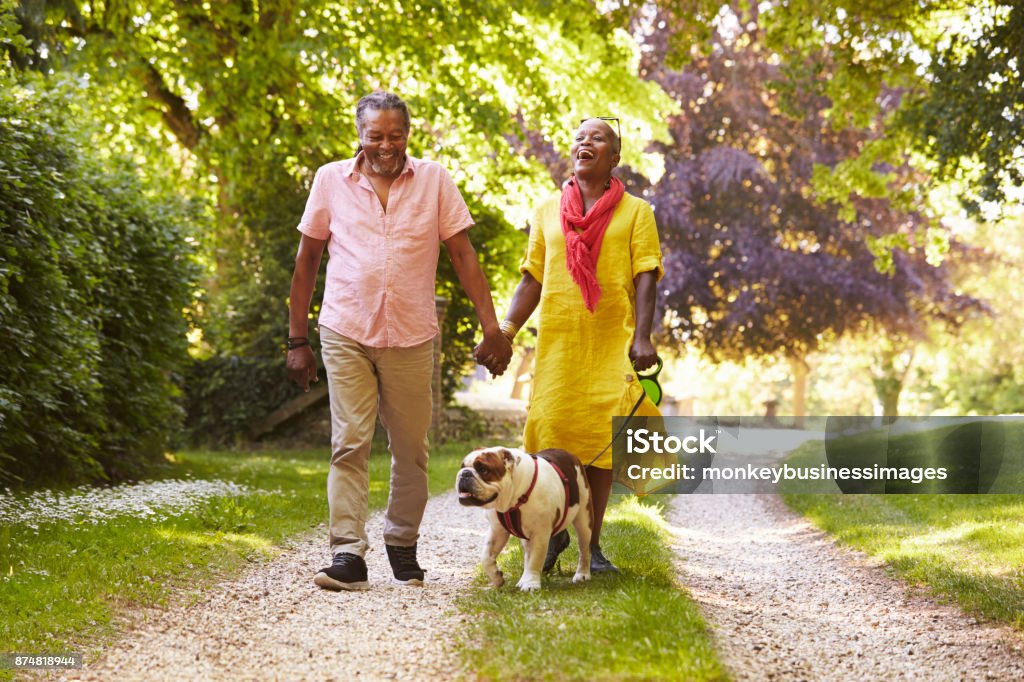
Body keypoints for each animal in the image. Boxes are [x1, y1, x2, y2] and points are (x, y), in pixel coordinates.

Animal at [456, 446, 593, 589]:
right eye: (462, 466)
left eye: (483, 470)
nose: (464, 473)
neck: (514, 497)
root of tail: (569, 454)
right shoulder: (497, 530)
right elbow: (486, 556)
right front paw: (497, 577)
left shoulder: (539, 534)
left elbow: (535, 559)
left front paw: (530, 584)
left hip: (584, 519)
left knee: (584, 548)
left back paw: (582, 574)